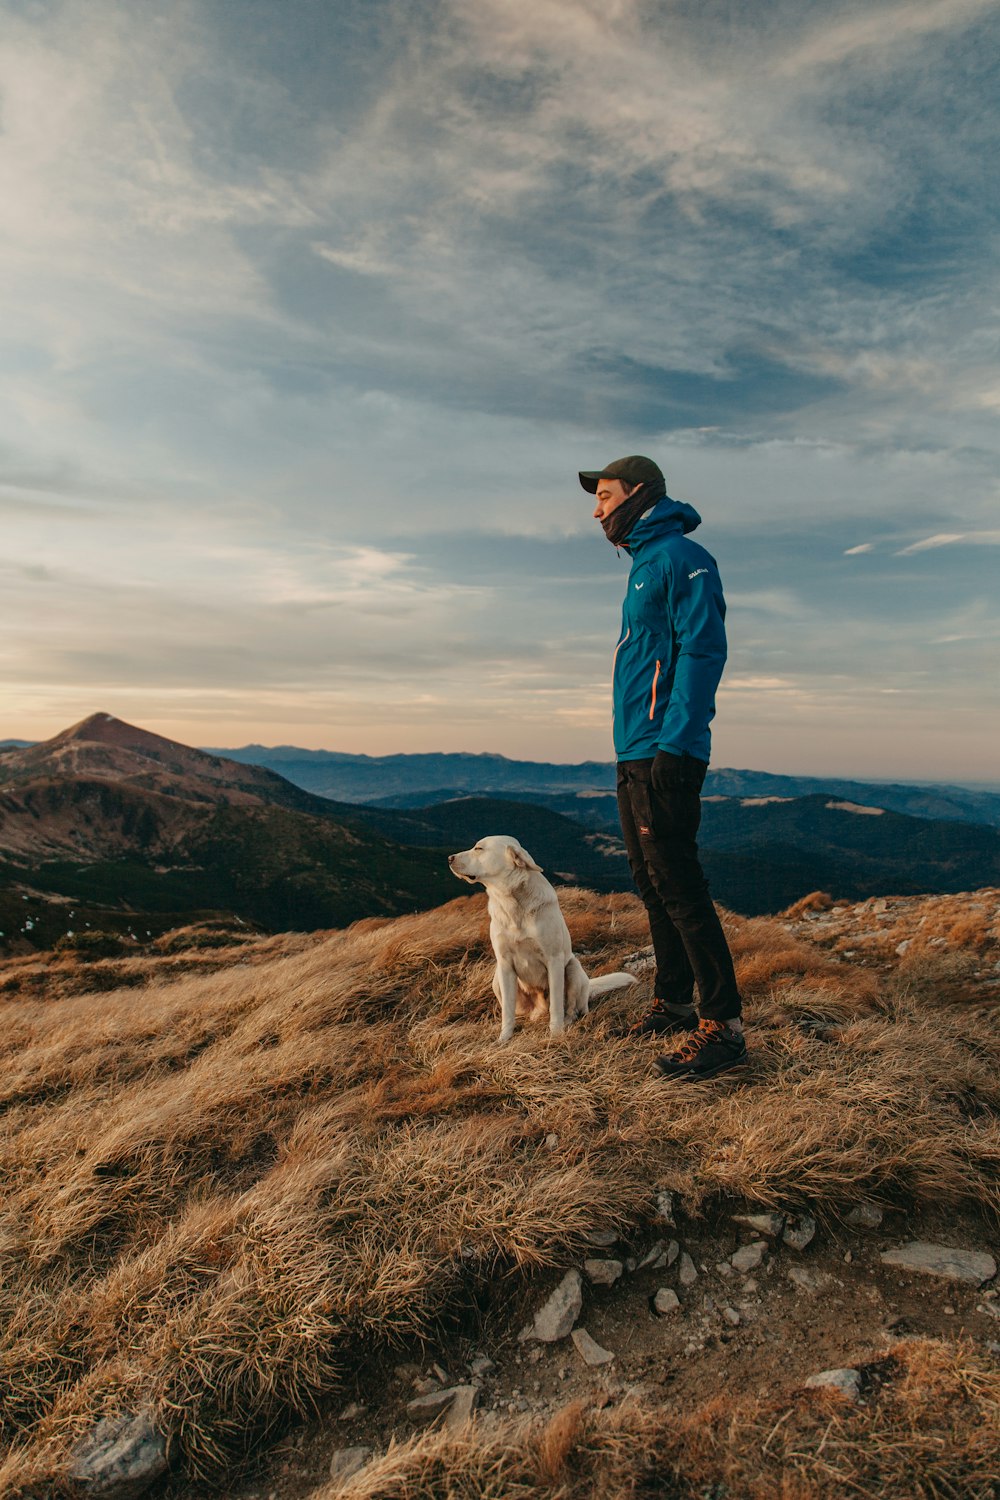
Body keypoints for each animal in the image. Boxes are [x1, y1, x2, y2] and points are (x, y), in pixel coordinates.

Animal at [449, 834, 638, 1044]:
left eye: (479, 848)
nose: (449, 858)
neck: (512, 902)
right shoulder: (504, 964)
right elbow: (507, 1012)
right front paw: (504, 1039)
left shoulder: (553, 960)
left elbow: (556, 1004)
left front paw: (556, 1034)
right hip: (497, 979)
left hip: (573, 969)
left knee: (574, 1008)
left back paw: (569, 1022)